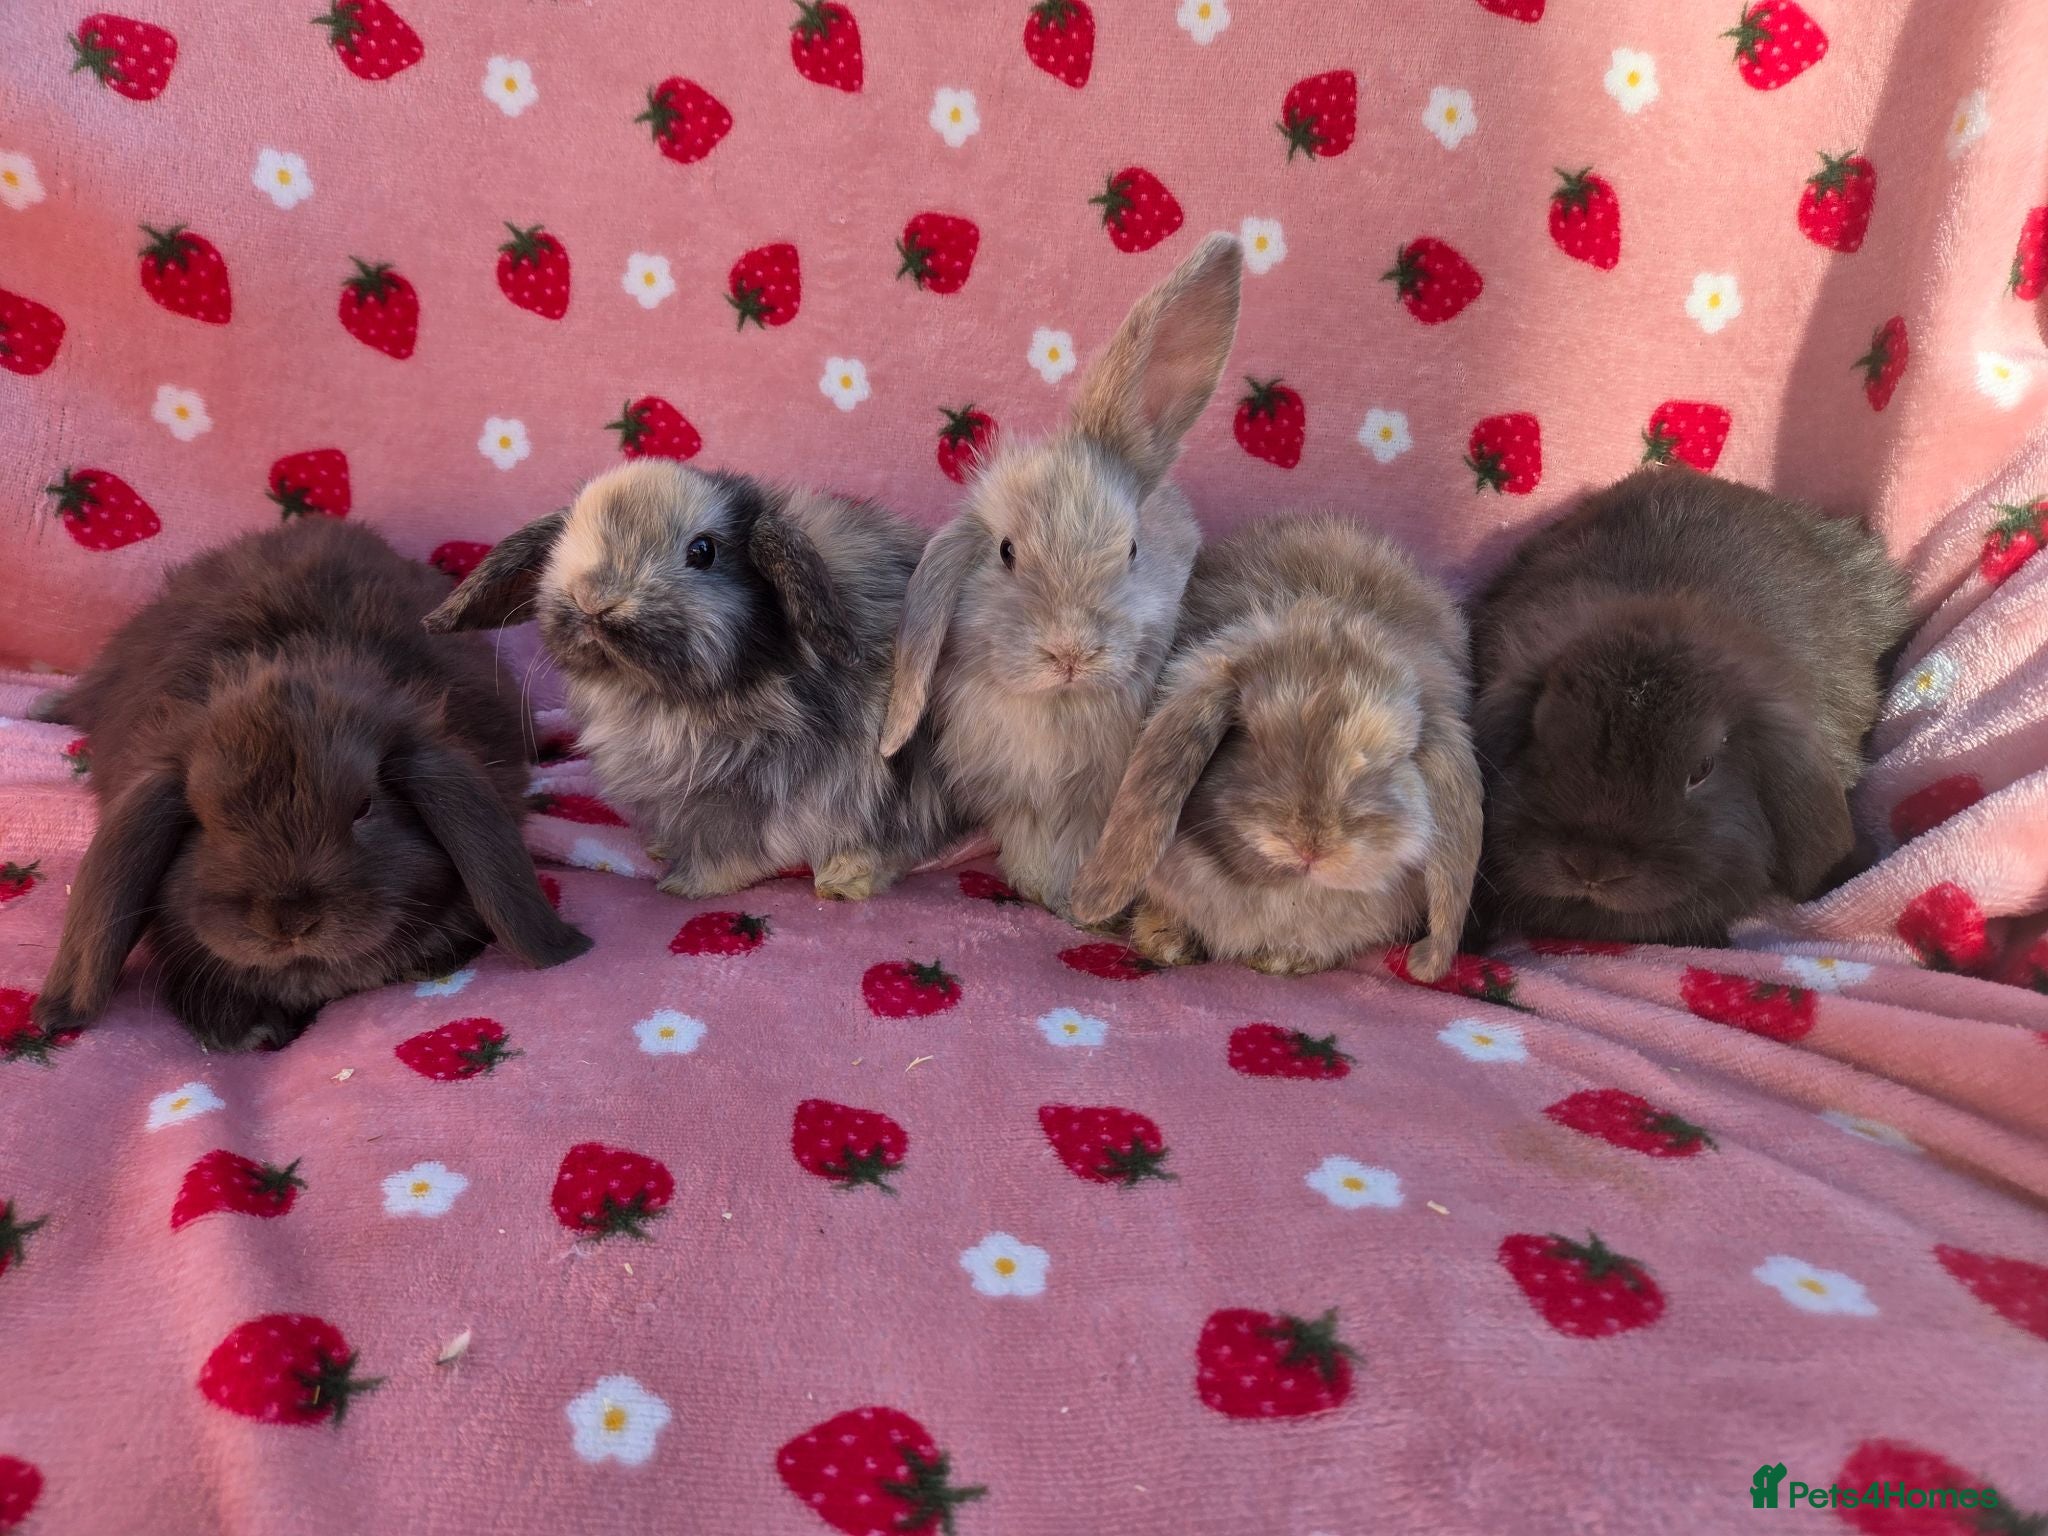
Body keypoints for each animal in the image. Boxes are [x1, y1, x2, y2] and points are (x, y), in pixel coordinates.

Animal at [425, 461, 964, 902]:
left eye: (703, 551)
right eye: (566, 538)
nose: (593, 598)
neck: (654, 695)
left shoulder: (758, 787)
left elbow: (736, 845)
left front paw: (687, 885)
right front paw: (663, 849)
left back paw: (844, 878)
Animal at [879, 231, 1242, 918]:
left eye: (1132, 550)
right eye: (1005, 552)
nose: (1071, 653)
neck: (1059, 709)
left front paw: (1074, 903)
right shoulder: (1015, 796)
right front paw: (1037, 889)